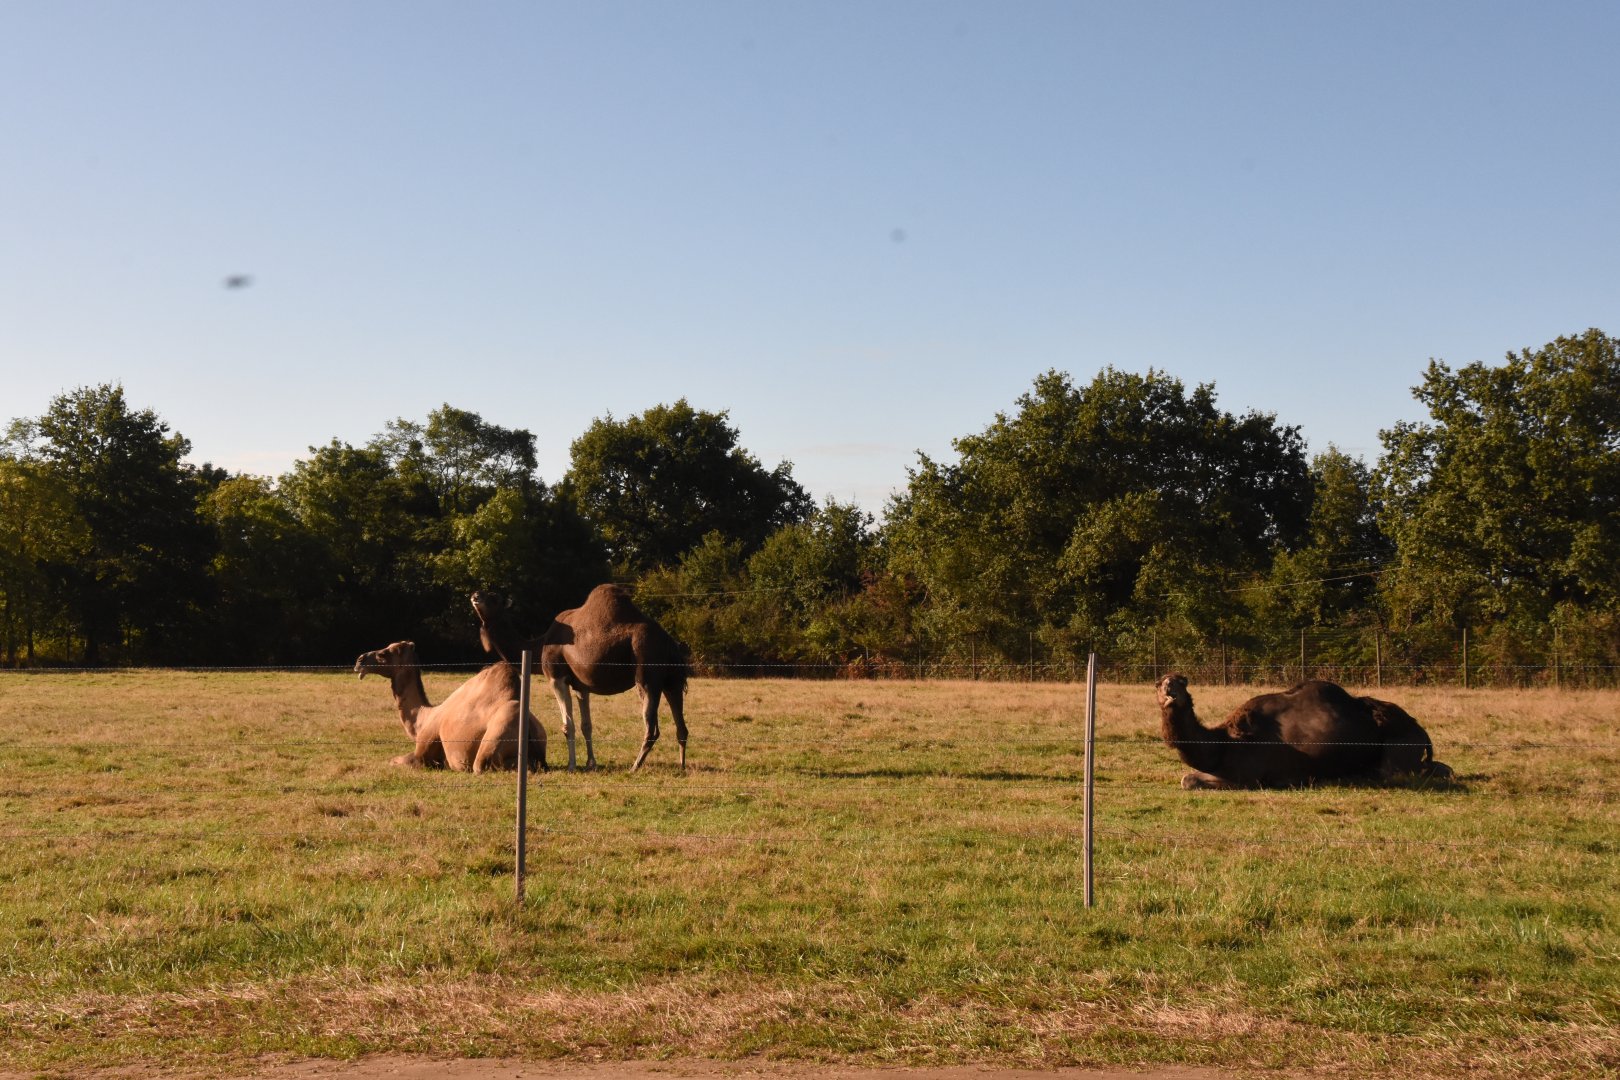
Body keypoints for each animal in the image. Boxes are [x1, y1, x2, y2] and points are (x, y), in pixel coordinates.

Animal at [354, 640, 545, 772]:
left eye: (385, 653)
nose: (359, 660)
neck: (423, 718)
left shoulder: (422, 752)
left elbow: (394, 760)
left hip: (492, 743)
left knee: (482, 765)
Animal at [470, 586, 690, 772]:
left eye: (494, 597)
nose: (475, 596)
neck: (540, 645)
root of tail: (671, 644)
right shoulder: (580, 686)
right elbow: (587, 725)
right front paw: (591, 763)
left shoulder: (556, 677)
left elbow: (568, 725)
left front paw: (571, 766)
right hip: (672, 681)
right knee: (681, 727)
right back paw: (681, 766)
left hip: (647, 674)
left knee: (651, 727)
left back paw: (634, 767)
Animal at [1155, 674, 1451, 789]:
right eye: (1159, 683)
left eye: (1182, 682)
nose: (1169, 689)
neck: (1223, 744)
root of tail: (1421, 731)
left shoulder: (1247, 777)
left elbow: (1188, 780)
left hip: (1399, 750)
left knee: (1394, 772)